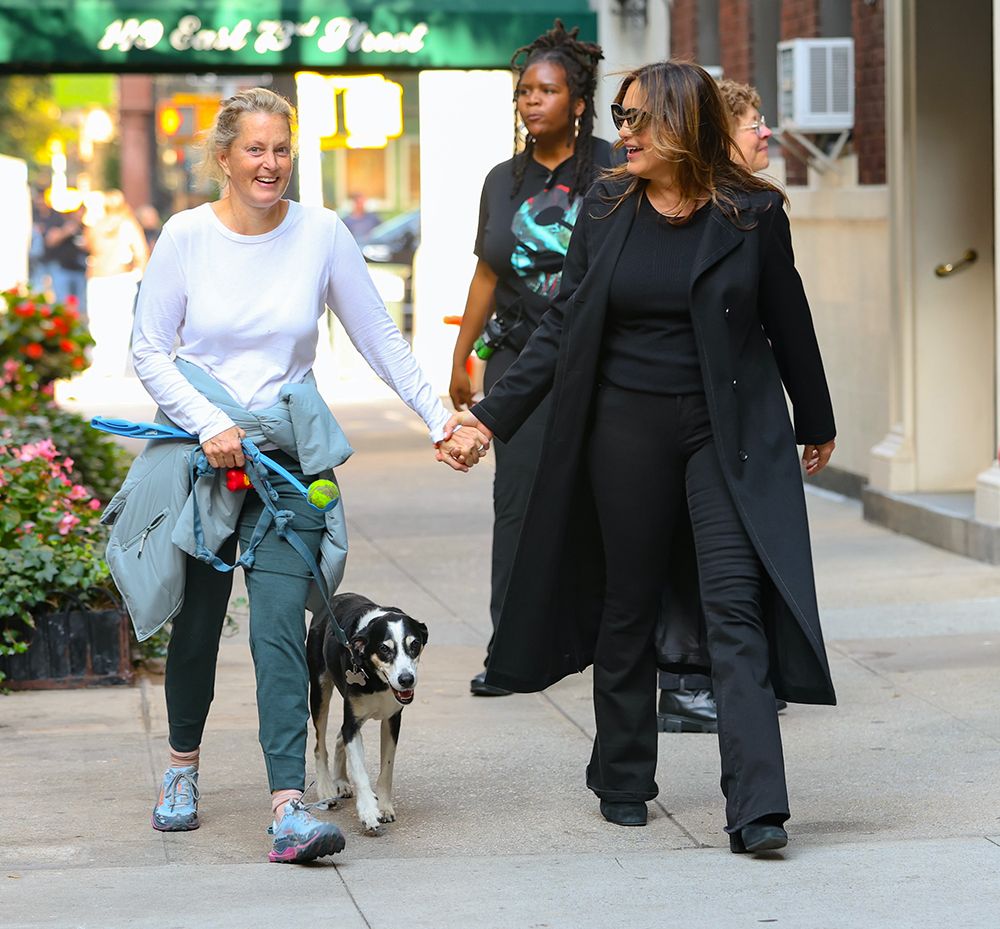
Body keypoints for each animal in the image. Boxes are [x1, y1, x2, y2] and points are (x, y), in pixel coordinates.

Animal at [306, 592, 428, 832]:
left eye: (415, 644)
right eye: (384, 648)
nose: (406, 679)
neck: (377, 680)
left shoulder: (392, 720)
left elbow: (386, 770)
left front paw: (384, 806)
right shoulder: (353, 724)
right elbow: (360, 771)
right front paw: (369, 812)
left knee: (338, 736)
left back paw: (342, 782)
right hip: (319, 690)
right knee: (320, 744)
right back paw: (326, 788)